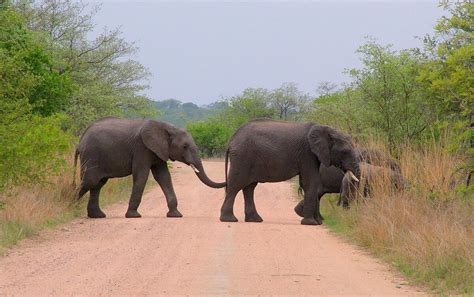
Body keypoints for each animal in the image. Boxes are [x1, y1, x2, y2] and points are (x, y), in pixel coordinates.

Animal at [74, 116, 226, 217]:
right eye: (184, 146)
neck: (168, 128)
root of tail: (80, 141)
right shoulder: (142, 149)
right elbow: (142, 176)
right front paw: (133, 216)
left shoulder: (159, 151)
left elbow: (164, 177)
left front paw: (176, 215)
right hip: (91, 155)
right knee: (89, 181)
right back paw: (71, 206)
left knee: (97, 184)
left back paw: (98, 216)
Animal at [221, 118, 360, 224]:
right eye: (345, 152)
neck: (325, 129)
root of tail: (231, 140)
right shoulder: (307, 154)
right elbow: (310, 182)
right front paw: (311, 223)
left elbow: (309, 182)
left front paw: (317, 222)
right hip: (242, 157)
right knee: (235, 185)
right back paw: (229, 220)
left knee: (249, 187)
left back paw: (255, 220)